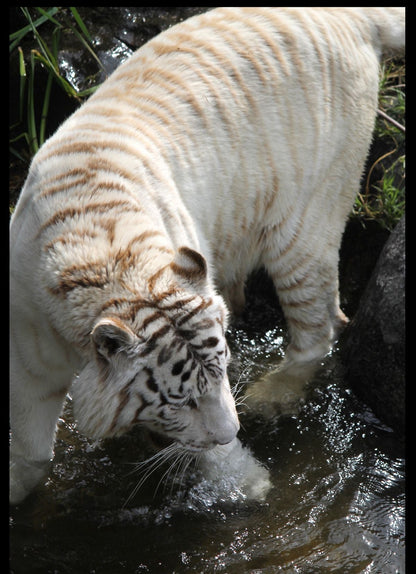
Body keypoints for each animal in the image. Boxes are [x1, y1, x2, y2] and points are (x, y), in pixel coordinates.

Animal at [9, 7, 404, 504]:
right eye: (181, 400)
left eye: (222, 376)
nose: (229, 431)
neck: (109, 260)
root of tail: (351, 15)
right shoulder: (27, 354)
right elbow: (31, 451)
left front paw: (248, 484)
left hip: (303, 230)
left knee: (319, 330)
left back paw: (270, 396)